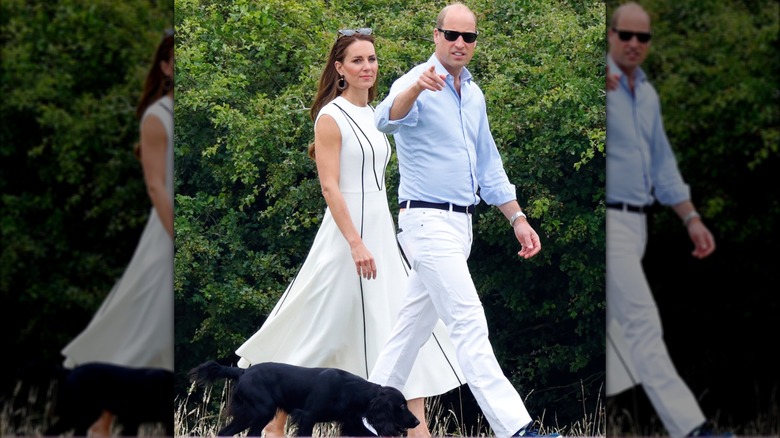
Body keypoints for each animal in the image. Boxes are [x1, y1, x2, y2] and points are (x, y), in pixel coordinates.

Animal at [189, 362, 420, 436]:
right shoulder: (307, 416)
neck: (352, 390)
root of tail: (243, 372)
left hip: (251, 415)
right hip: (261, 412)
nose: (417, 421)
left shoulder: (352, 423)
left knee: (226, 432)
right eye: (401, 405)